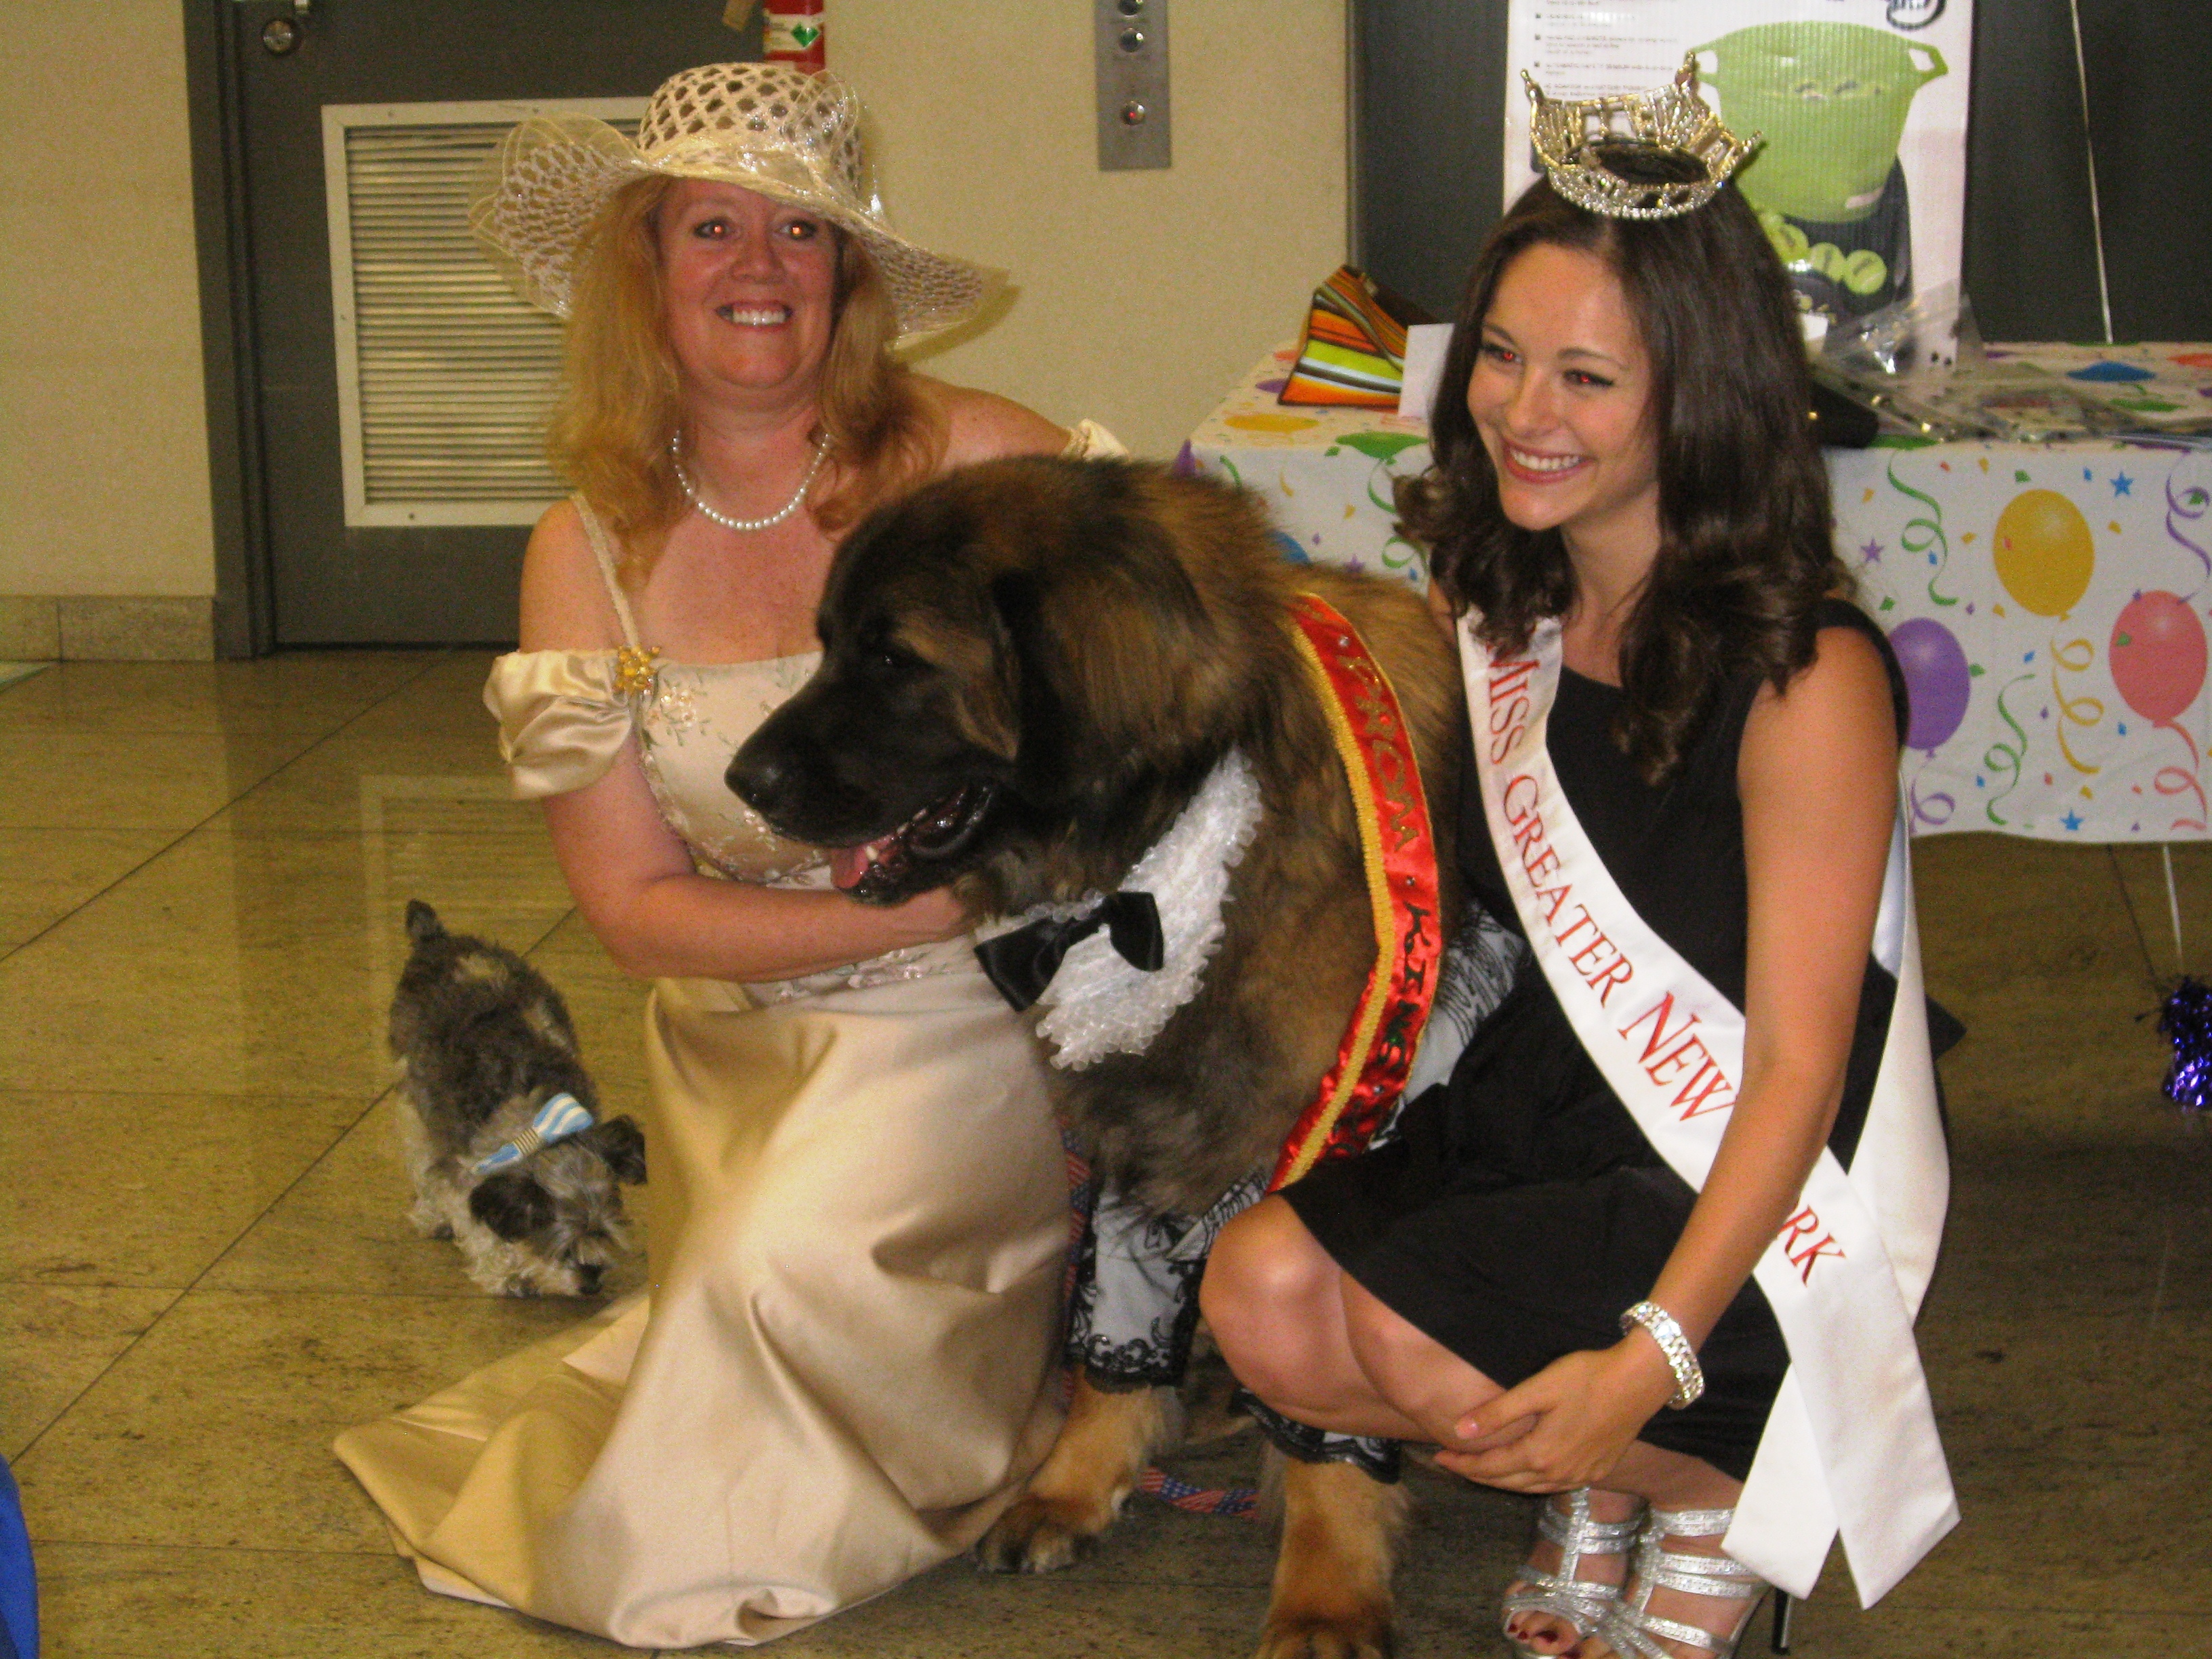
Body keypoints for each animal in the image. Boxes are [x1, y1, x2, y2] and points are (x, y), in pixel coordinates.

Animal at [388, 900, 646, 1297]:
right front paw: (506, 1273)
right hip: (414, 1103)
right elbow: (474, 1223)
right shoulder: (466, 1169)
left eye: (603, 1233)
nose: (590, 1283)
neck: (540, 1124)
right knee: (422, 1161)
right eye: (563, 1247)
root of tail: (438, 940)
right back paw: (431, 1216)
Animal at [728, 456, 1467, 1659]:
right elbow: (1109, 1341)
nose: (744, 782)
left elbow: (1326, 1426)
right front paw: (1074, 1488)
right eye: (828, 641)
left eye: (894, 659)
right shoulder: (1142, 1129)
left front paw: (1325, 1591)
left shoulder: (1336, 1148)